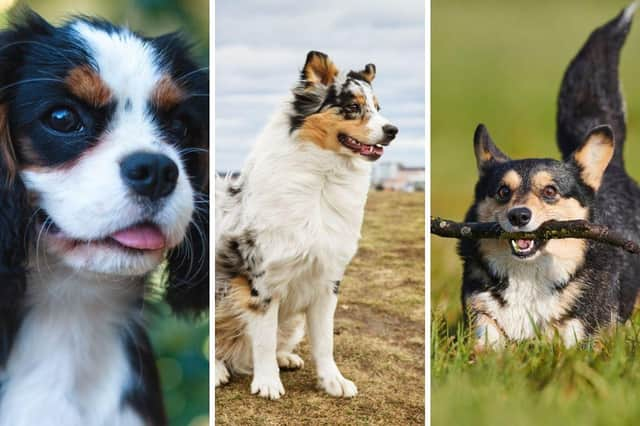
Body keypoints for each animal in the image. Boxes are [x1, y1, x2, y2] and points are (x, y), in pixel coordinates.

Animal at [215, 50, 396, 400]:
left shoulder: (328, 280)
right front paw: (268, 383)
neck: (324, 177)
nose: (393, 130)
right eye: (353, 107)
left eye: (378, 107)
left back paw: (284, 357)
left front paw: (332, 381)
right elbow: (263, 338)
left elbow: (324, 341)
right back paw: (219, 369)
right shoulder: (263, 282)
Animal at [458, 3, 640, 350]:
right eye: (502, 191)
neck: (529, 273)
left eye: (551, 191)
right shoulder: (484, 317)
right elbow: (486, 343)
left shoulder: (580, 334)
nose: (518, 216)